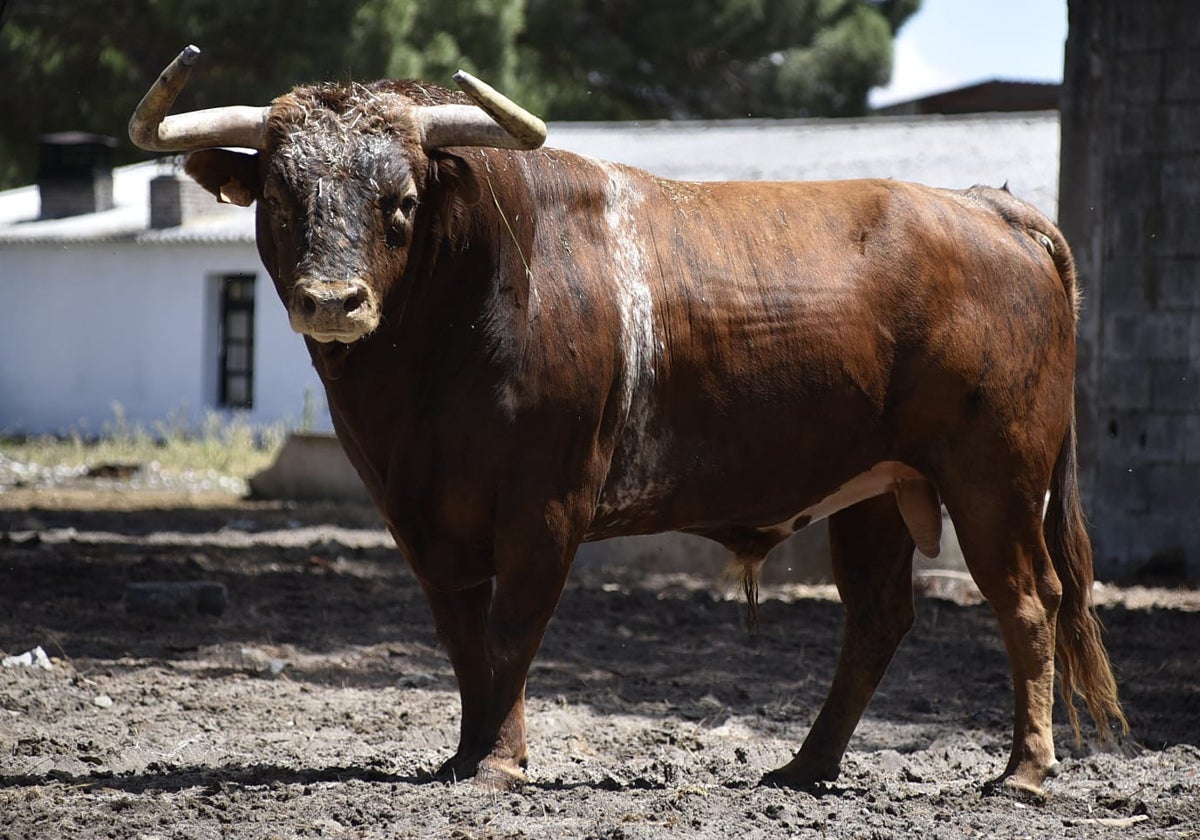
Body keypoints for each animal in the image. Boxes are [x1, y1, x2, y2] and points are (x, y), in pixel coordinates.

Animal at [129, 47, 1123, 801]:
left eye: (401, 202)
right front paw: (467, 754)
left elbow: (513, 628)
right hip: (874, 489)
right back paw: (804, 768)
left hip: (994, 477)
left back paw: (1023, 773)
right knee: (879, 617)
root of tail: (986, 206)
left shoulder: (546, 503)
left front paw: (499, 762)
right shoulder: (422, 517)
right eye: (279, 198)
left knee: (1028, 601)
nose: (333, 302)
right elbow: (464, 638)